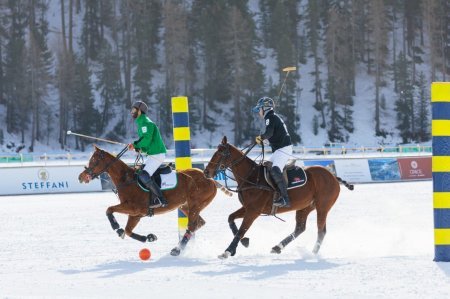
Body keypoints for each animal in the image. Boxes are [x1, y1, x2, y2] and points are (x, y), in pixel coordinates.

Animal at [79, 145, 229, 255]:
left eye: (94, 160)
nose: (81, 177)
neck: (126, 179)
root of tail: (210, 179)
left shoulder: (133, 208)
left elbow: (109, 209)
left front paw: (117, 227)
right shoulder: (136, 214)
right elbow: (128, 230)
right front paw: (149, 237)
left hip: (195, 204)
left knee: (192, 225)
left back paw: (177, 250)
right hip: (185, 206)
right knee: (199, 223)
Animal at [204, 137, 356, 258]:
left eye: (221, 153)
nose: (206, 172)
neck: (251, 177)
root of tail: (333, 176)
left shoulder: (253, 211)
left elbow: (241, 230)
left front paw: (228, 251)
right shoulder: (248, 208)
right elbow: (231, 219)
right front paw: (244, 242)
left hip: (323, 206)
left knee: (321, 231)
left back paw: (313, 253)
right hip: (305, 206)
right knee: (300, 228)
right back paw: (277, 247)